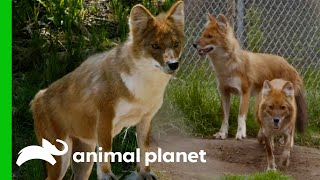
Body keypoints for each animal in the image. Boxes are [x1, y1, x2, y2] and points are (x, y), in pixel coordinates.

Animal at [32, 1, 184, 180]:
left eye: (176, 44)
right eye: (155, 46)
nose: (173, 64)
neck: (143, 89)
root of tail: (38, 97)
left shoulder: (146, 119)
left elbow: (145, 149)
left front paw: (145, 172)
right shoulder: (105, 116)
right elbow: (106, 148)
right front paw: (106, 174)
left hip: (85, 160)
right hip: (61, 160)